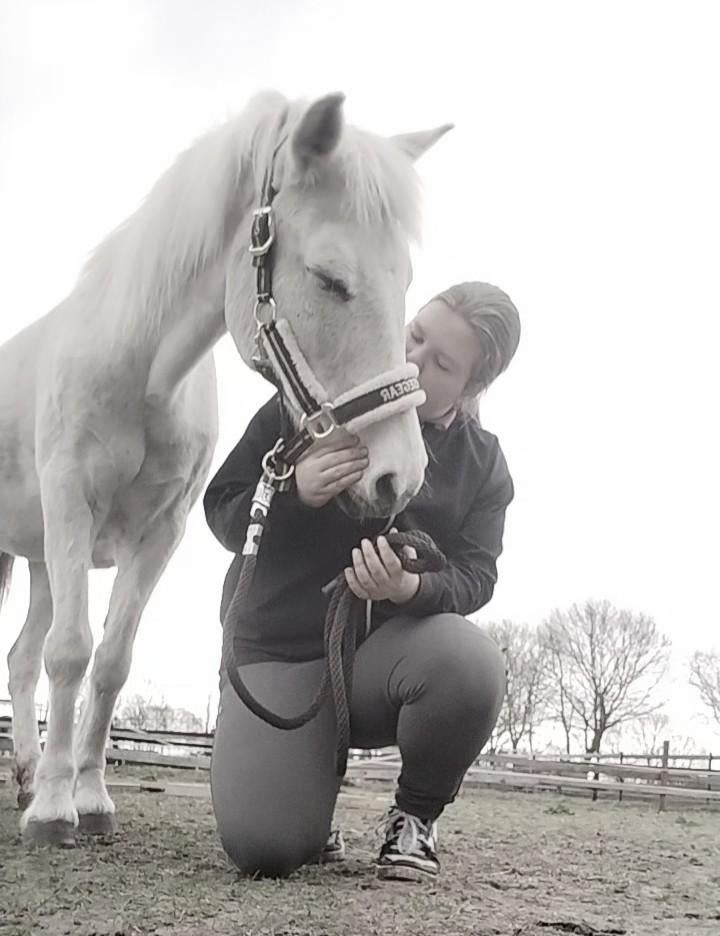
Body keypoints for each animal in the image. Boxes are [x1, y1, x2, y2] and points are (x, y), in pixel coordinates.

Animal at [0, 90, 452, 847]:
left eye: (406, 280)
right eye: (330, 278)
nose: (401, 475)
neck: (143, 375)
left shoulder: (159, 536)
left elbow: (110, 662)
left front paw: (88, 798)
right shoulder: (71, 506)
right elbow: (72, 652)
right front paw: (56, 813)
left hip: (37, 561)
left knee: (22, 658)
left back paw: (31, 773)